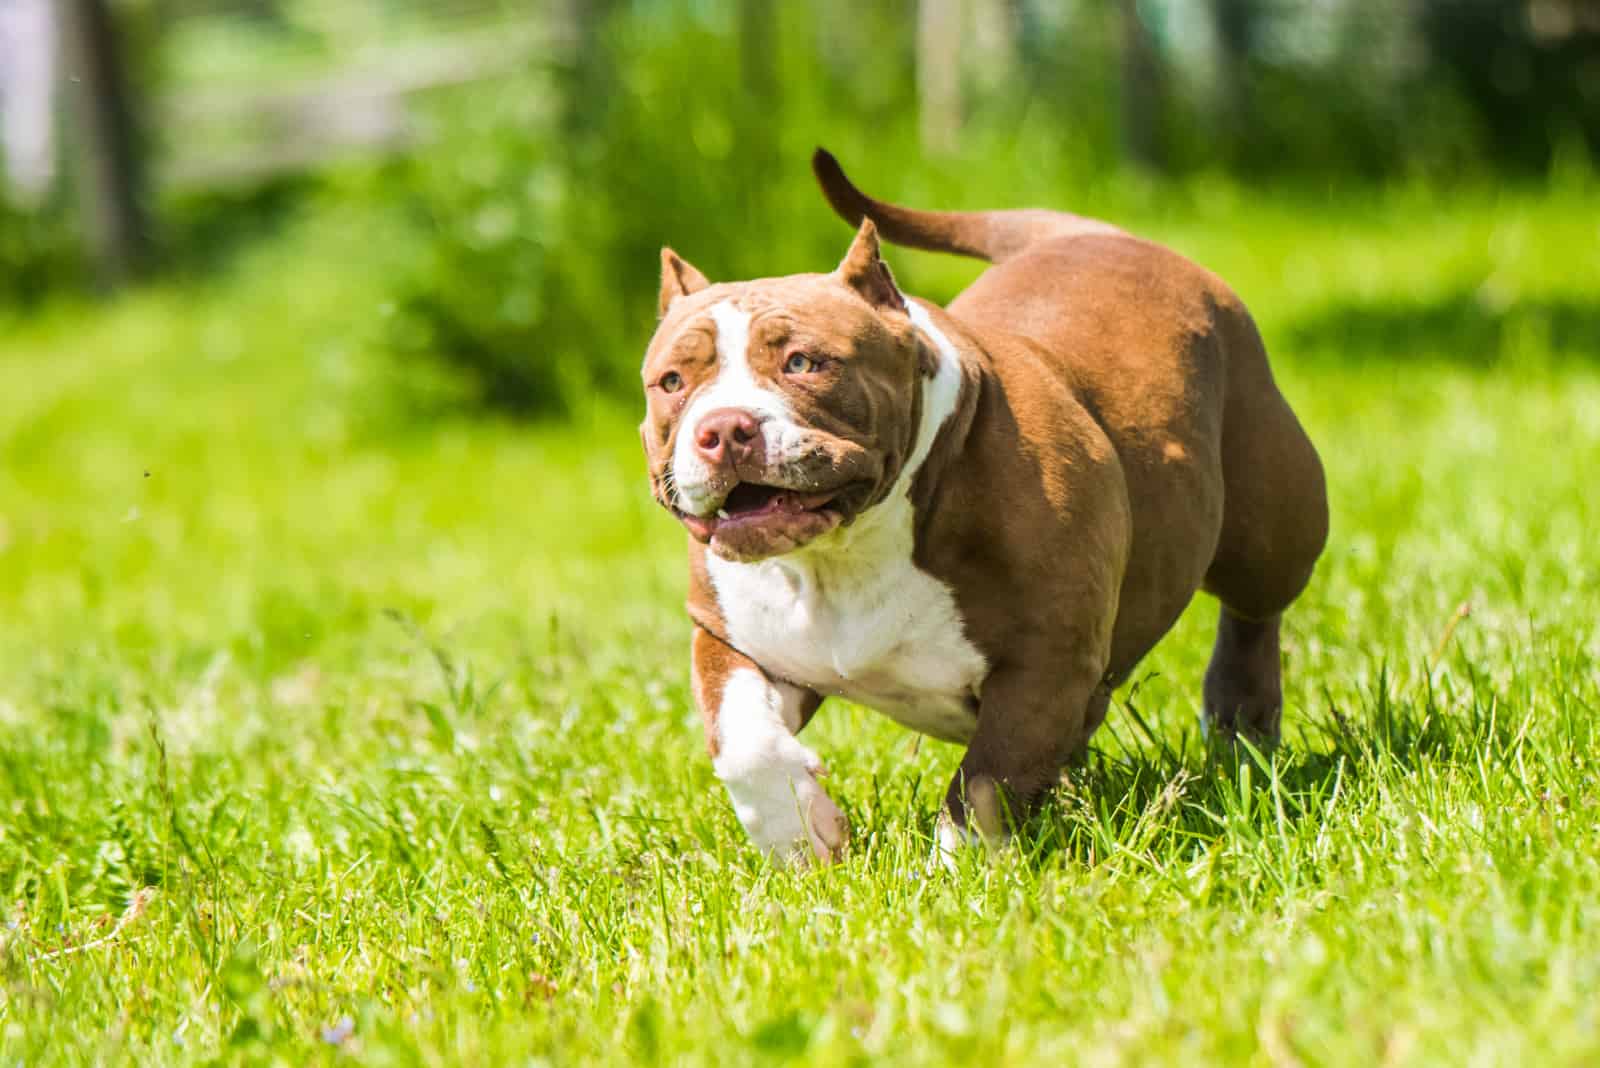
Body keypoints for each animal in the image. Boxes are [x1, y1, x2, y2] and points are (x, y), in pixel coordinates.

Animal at [636, 150, 1324, 863]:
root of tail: (1086, 232)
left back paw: (1241, 721)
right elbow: (740, 740)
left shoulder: (1044, 662)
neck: (845, 552)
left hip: (1272, 520)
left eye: (803, 362)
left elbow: (987, 784)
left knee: (1256, 607)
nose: (723, 429)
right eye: (671, 382)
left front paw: (954, 873)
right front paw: (799, 835)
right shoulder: (732, 638)